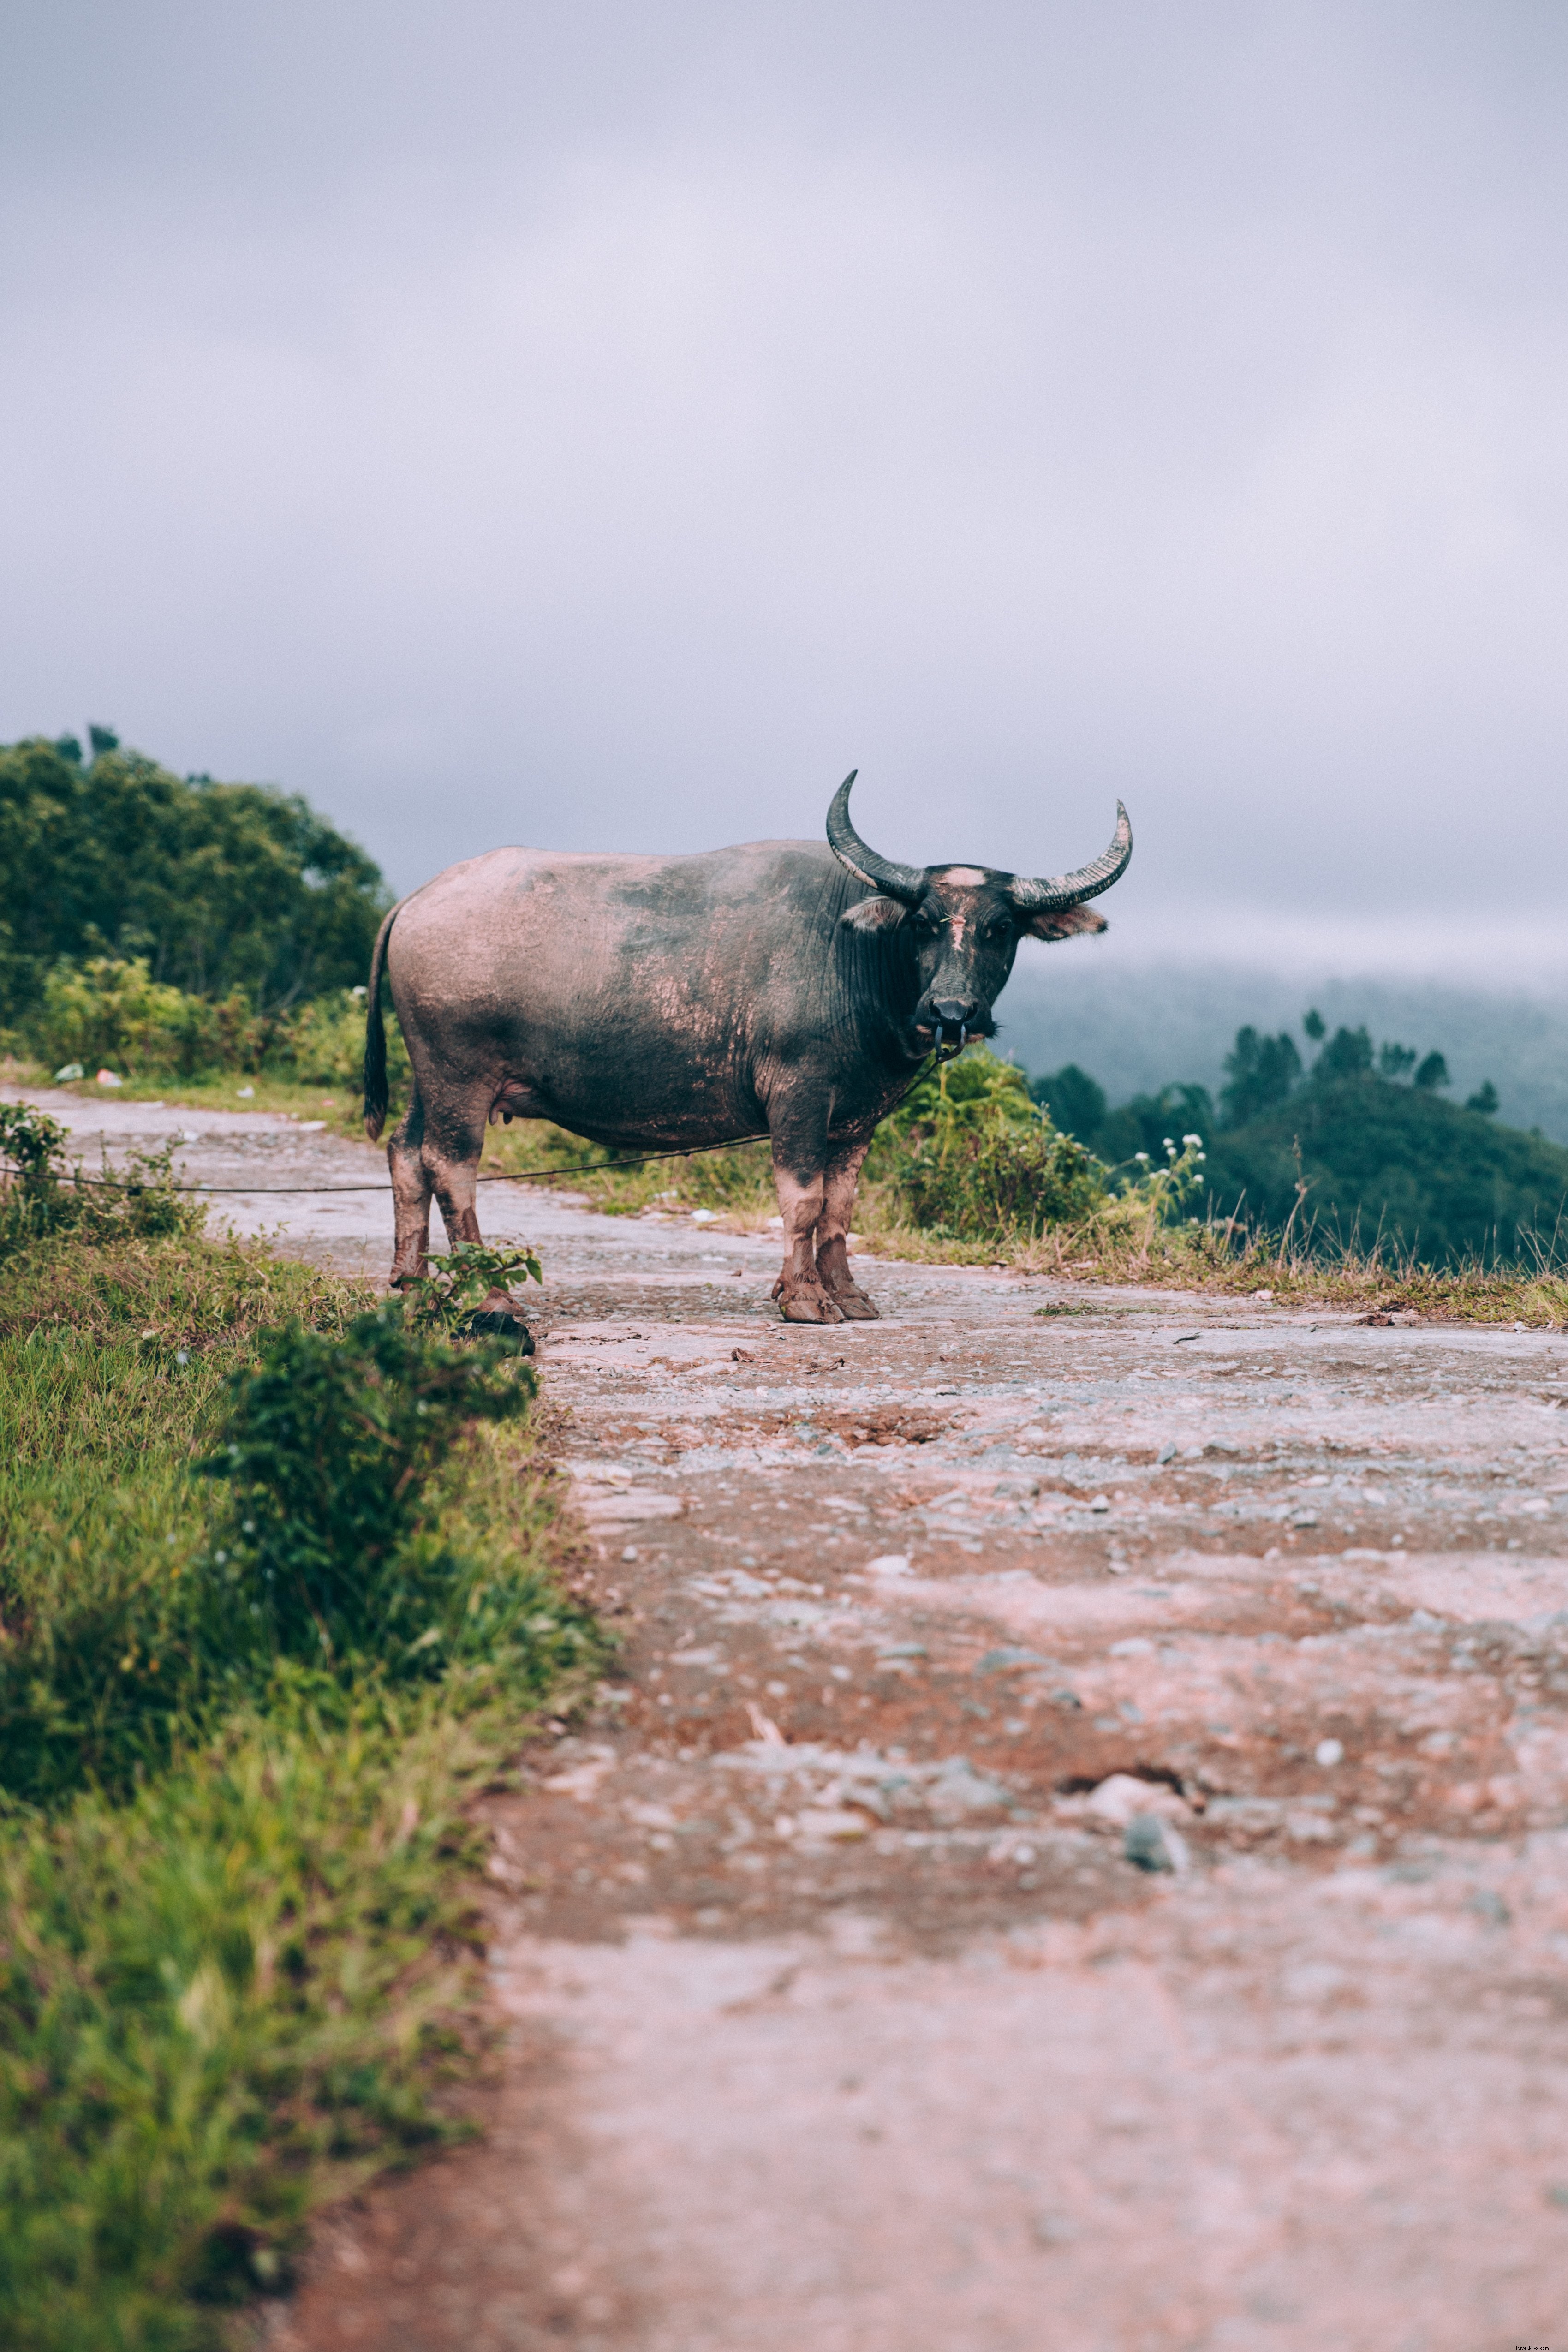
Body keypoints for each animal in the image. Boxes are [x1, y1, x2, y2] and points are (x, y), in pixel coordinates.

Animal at [364, 771, 1133, 1326]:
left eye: (1000, 928)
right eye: (921, 922)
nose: (950, 1010)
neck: (853, 956)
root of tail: (419, 899)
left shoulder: (854, 1116)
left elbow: (841, 1208)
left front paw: (847, 1295)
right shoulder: (798, 1094)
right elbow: (802, 1199)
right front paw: (803, 1300)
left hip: (426, 1075)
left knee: (405, 1152)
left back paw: (412, 1284)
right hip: (459, 1075)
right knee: (451, 1167)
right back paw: (488, 1296)